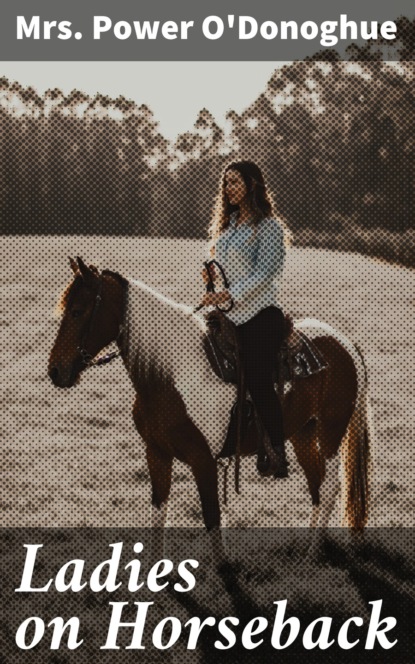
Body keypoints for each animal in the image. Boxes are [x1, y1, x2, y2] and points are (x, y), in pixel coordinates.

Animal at [48, 256, 370, 544]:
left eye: (77, 311)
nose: (55, 371)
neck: (170, 375)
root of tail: (346, 343)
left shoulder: (204, 461)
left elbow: (212, 520)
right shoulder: (157, 453)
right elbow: (158, 517)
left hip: (331, 431)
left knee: (329, 487)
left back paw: (311, 553)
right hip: (303, 432)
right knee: (317, 482)